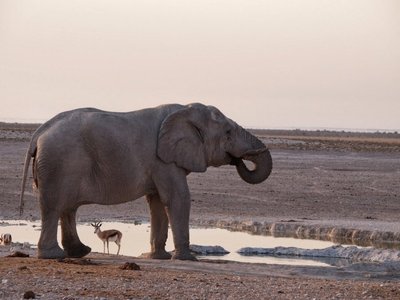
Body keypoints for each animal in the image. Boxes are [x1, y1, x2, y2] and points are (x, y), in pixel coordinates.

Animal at [20, 103, 274, 260]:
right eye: (228, 132)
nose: (238, 160)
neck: (184, 110)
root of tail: (39, 132)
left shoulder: (161, 163)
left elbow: (157, 202)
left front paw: (158, 257)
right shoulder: (164, 161)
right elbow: (178, 198)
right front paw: (186, 258)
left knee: (68, 207)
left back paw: (79, 252)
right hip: (58, 162)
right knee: (55, 206)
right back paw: (54, 256)